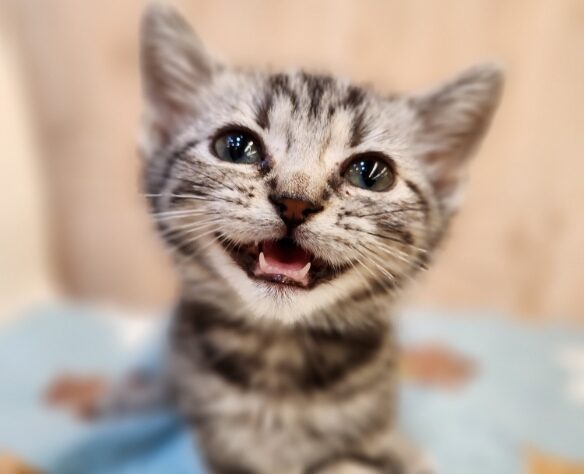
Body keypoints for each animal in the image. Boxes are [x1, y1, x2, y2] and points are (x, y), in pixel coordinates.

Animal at [139, 3, 503, 473]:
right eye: (235, 146)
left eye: (370, 173)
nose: (295, 202)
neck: (278, 364)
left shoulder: (388, 443)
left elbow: (351, 463)